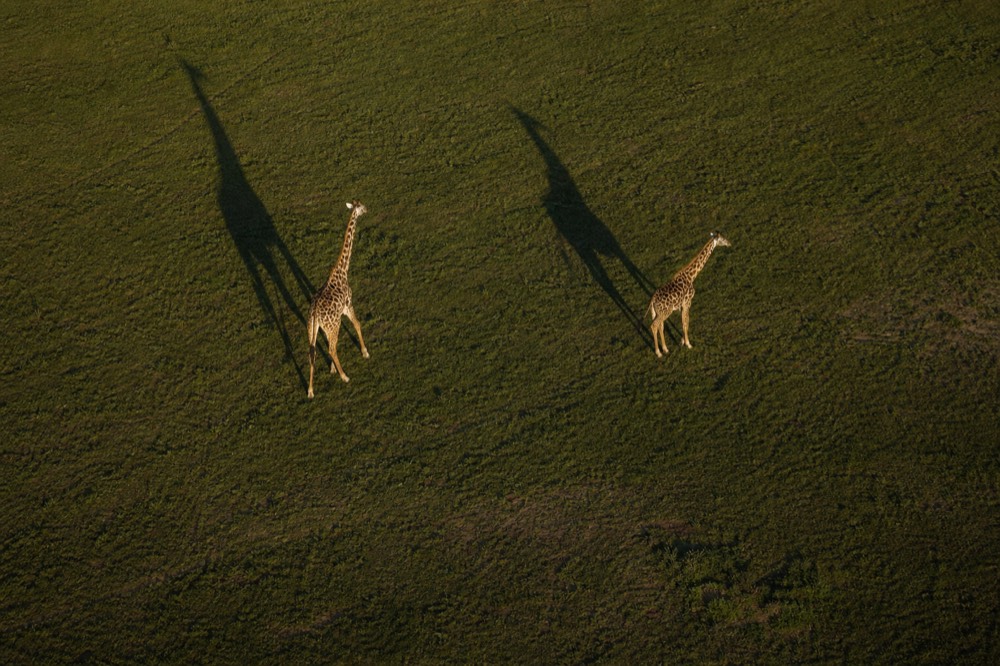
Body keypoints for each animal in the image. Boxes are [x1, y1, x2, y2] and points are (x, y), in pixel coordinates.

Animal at [307, 201, 370, 398]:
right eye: (360, 206)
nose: (367, 209)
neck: (342, 270)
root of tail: (315, 313)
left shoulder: (329, 325)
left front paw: (332, 369)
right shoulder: (348, 306)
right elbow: (358, 324)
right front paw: (365, 352)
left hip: (312, 328)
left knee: (312, 351)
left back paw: (310, 390)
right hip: (333, 325)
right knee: (332, 348)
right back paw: (345, 377)